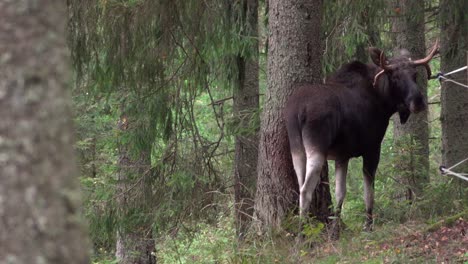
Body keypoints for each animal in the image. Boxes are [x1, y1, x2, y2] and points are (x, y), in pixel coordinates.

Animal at [286, 39, 438, 231]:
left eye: (415, 74)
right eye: (394, 77)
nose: (418, 101)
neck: (383, 101)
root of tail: (299, 111)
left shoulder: (342, 156)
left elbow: (340, 193)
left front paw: (336, 229)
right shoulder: (372, 148)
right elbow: (369, 191)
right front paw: (368, 225)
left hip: (297, 148)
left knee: (300, 186)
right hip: (317, 149)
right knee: (306, 189)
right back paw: (302, 231)